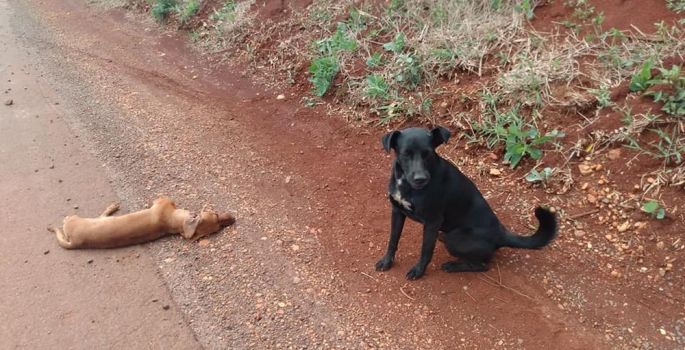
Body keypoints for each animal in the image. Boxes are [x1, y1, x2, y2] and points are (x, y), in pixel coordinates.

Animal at [374, 126, 556, 278]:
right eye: (406, 154)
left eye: (428, 154)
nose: (421, 179)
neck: (405, 184)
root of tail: (501, 234)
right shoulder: (397, 211)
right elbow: (393, 240)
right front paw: (387, 261)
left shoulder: (433, 221)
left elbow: (426, 250)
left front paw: (419, 271)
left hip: (455, 239)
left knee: (482, 265)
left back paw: (453, 266)